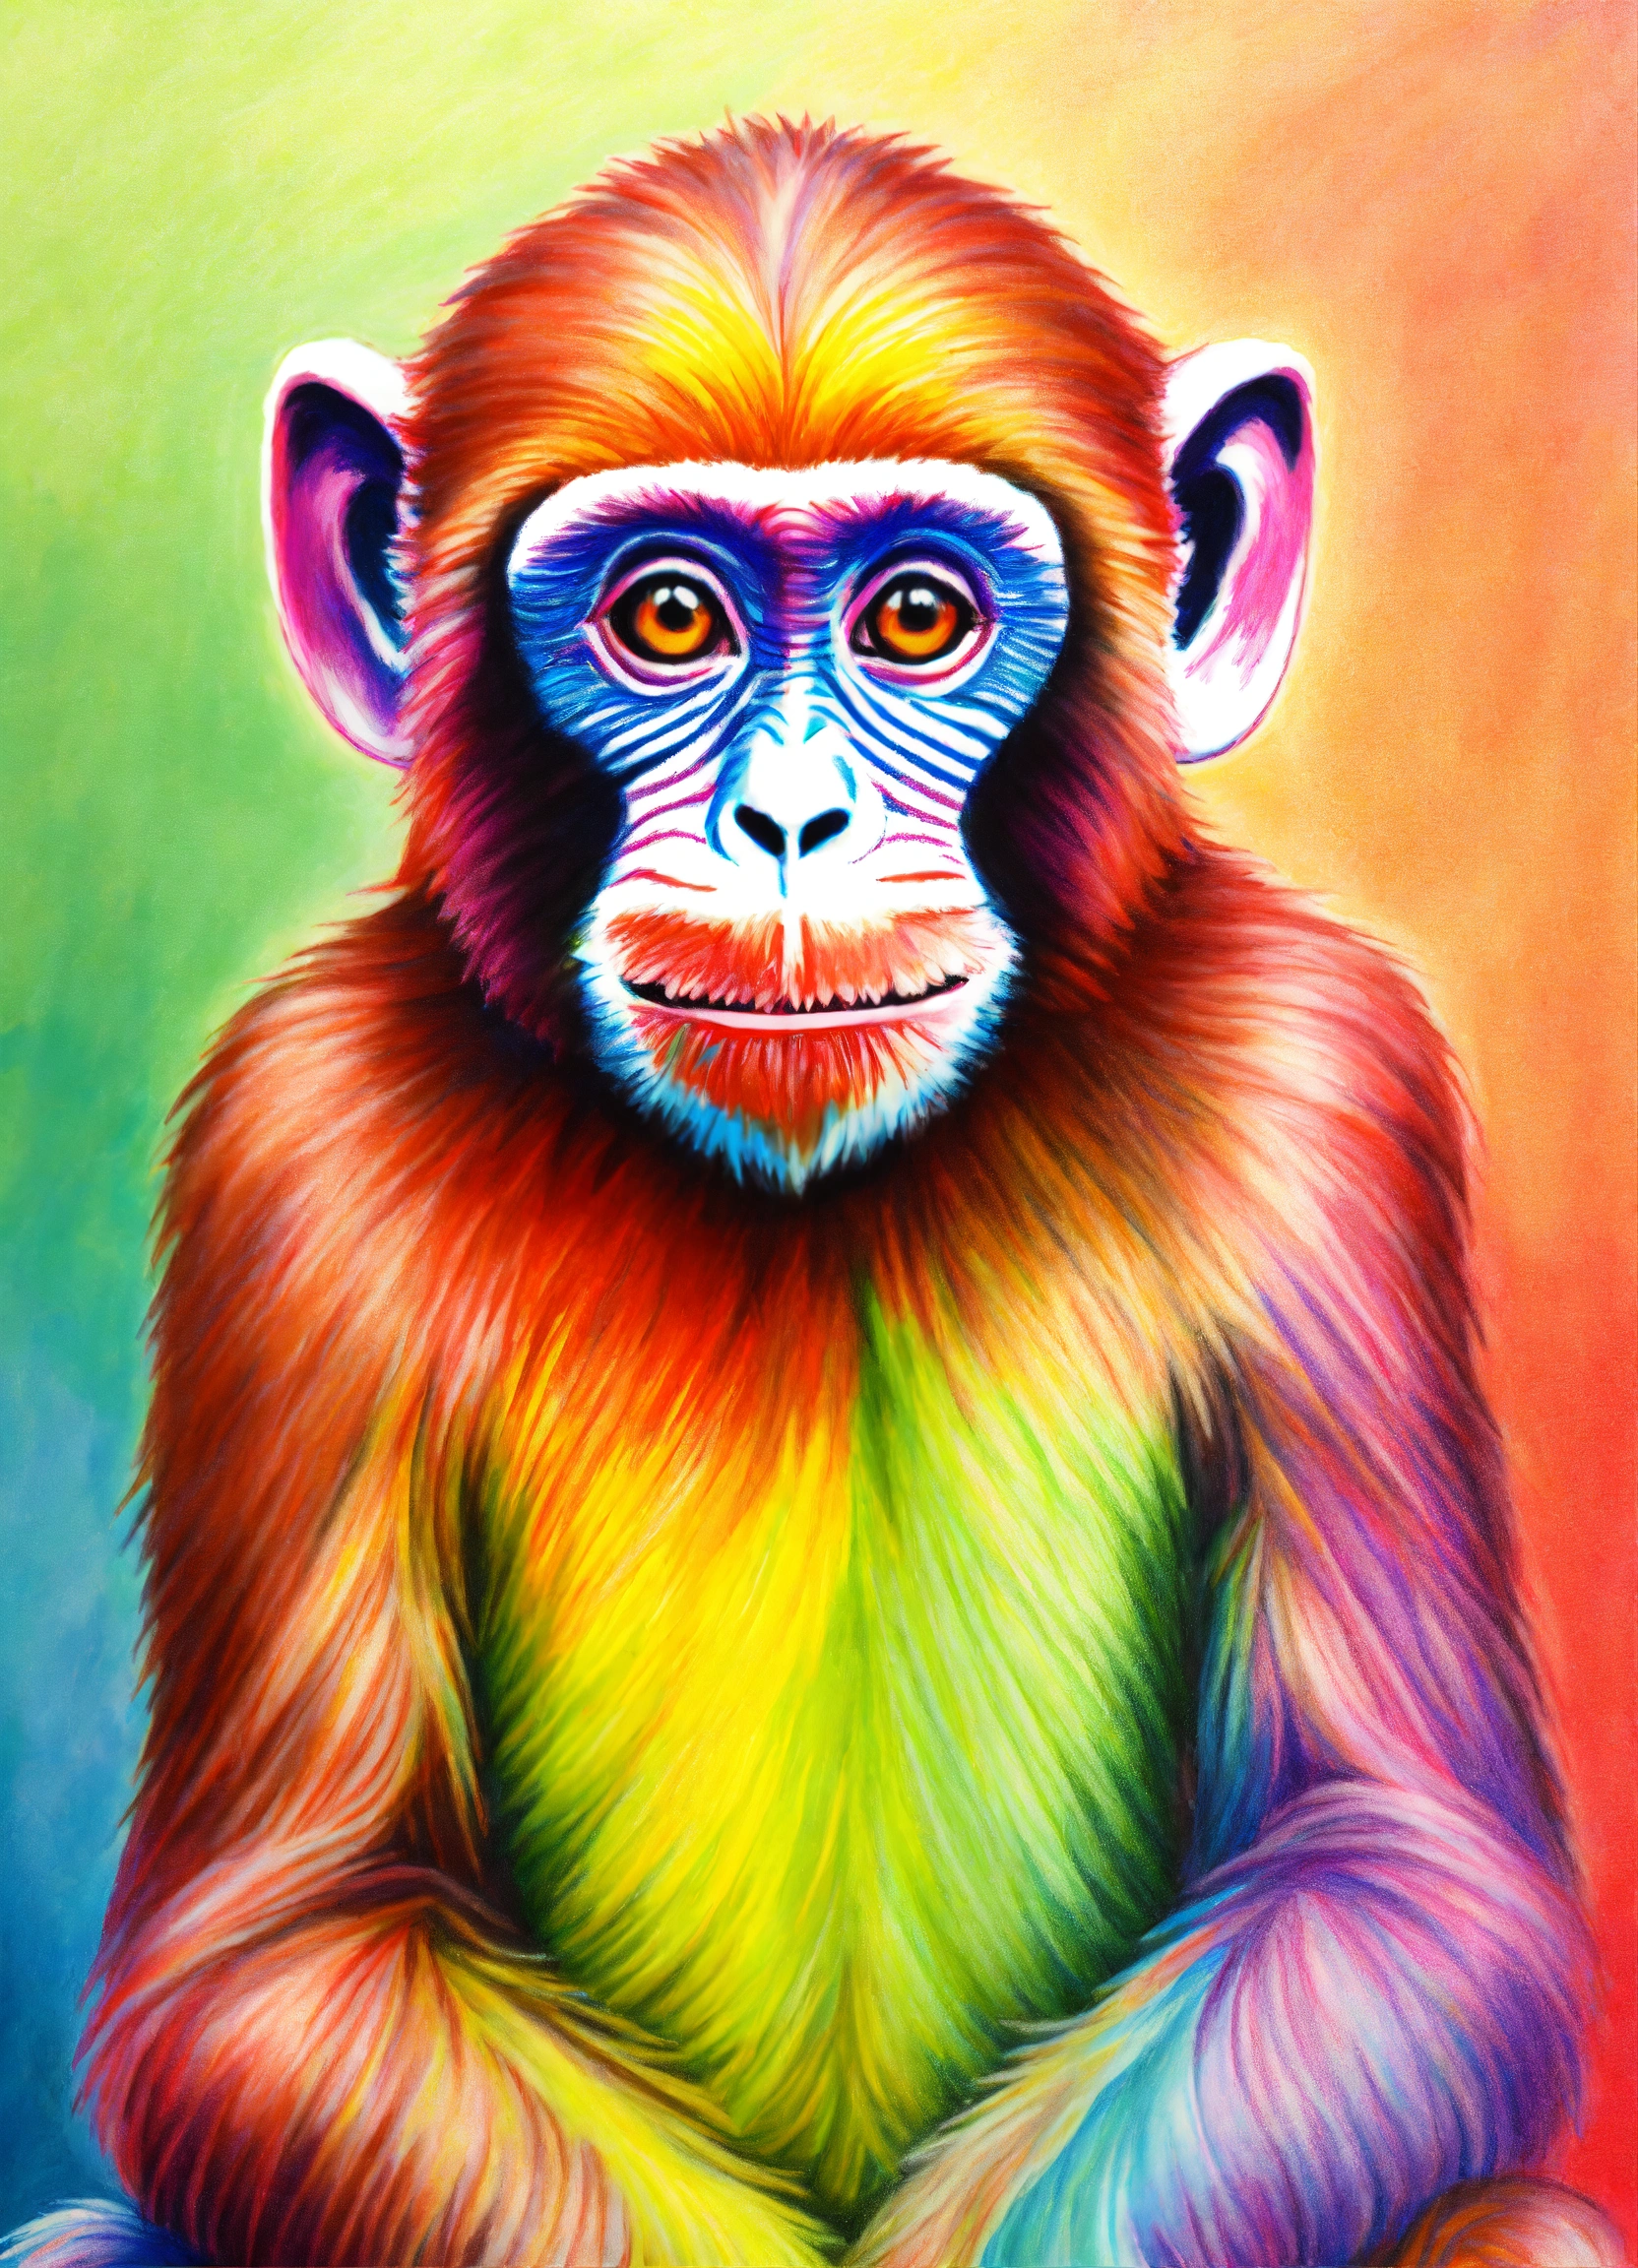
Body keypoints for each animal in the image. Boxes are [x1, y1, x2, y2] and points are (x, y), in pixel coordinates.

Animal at [4, 118, 1621, 2268]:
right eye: (669, 620)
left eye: (916, 618)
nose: (789, 818)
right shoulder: (289, 1136)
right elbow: (276, 1939)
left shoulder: (1322, 1082)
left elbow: (1400, 1863)